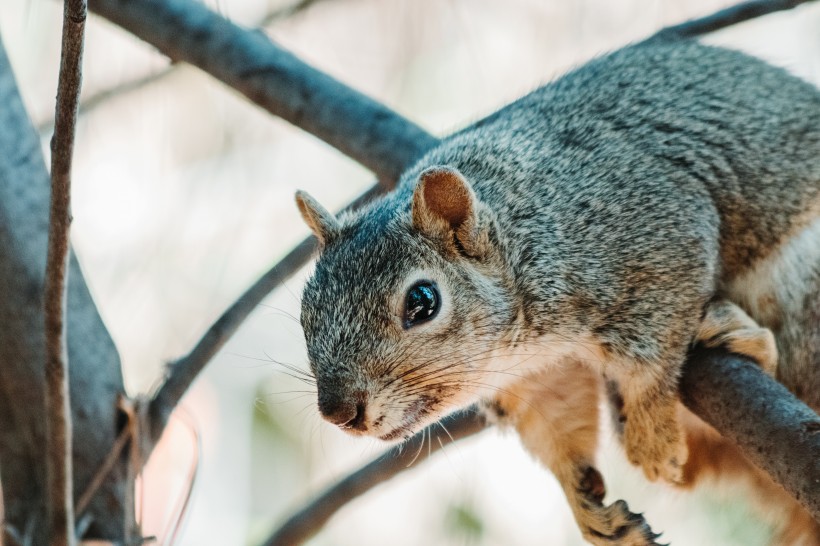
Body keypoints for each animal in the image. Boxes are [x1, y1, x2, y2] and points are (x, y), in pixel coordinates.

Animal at [296, 39, 820, 544]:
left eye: (422, 302)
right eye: (305, 313)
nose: (339, 411)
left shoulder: (660, 240)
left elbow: (651, 361)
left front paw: (652, 434)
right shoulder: (539, 377)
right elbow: (559, 426)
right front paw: (585, 504)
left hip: (803, 292)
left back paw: (741, 338)